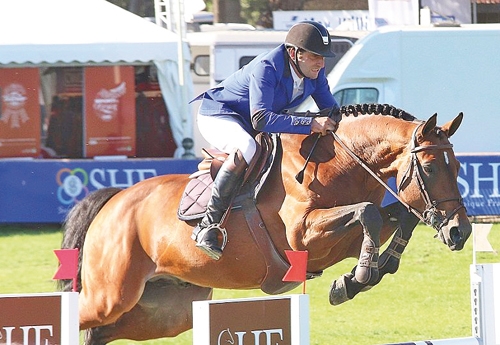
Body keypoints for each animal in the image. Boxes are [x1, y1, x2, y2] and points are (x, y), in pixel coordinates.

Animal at [59, 103, 472, 342]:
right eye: (431, 167)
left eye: (458, 166)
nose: (461, 232)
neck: (340, 163)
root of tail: (114, 201)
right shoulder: (303, 236)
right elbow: (368, 213)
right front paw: (357, 277)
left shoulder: (344, 239)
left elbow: (395, 217)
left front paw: (362, 277)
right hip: (111, 296)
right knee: (84, 319)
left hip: (166, 311)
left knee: (101, 333)